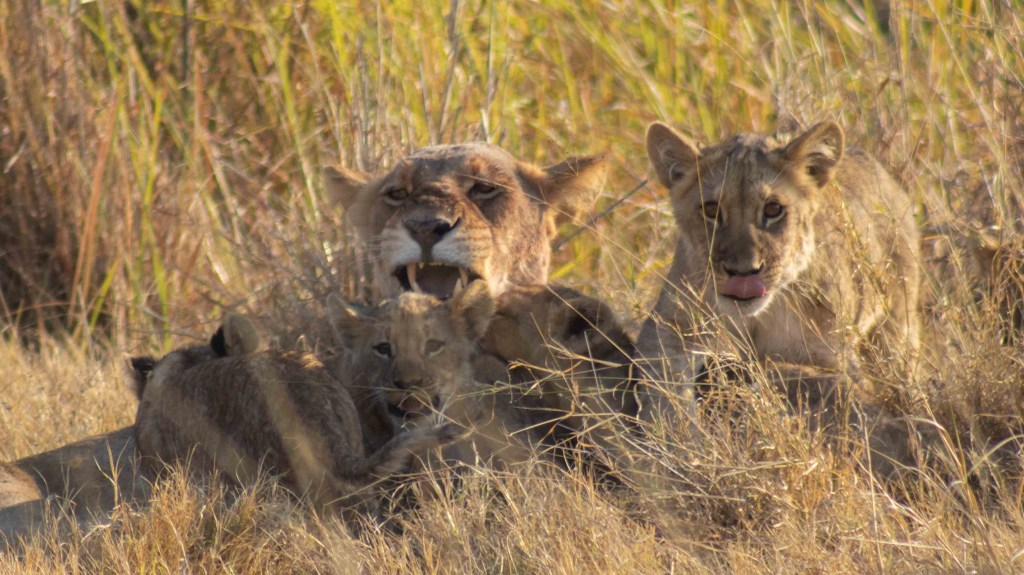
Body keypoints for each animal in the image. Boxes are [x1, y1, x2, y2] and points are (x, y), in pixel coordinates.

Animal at [637, 121, 921, 423]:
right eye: (711, 210)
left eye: (773, 209)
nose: (743, 272)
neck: (757, 318)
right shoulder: (670, 329)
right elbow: (667, 391)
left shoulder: (830, 354)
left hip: (897, 325)